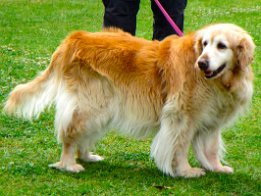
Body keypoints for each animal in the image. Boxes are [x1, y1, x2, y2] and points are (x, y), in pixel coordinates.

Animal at [5, 23, 255, 178]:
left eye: (221, 46)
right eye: (204, 44)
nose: (201, 63)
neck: (220, 82)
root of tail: (77, 36)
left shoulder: (210, 121)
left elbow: (210, 147)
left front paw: (216, 168)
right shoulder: (181, 117)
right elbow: (180, 147)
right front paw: (185, 171)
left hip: (103, 108)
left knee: (83, 136)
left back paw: (87, 156)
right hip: (92, 105)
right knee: (70, 134)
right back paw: (69, 164)